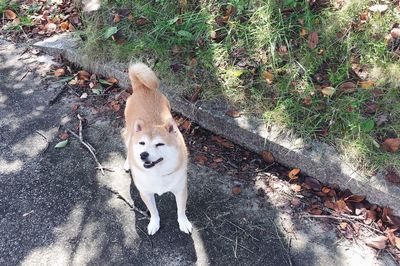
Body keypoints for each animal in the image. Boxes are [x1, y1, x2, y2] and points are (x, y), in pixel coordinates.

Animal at [123, 61, 192, 235]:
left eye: (159, 144)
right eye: (142, 143)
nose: (143, 155)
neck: (158, 173)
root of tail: (142, 87)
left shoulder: (180, 190)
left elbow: (181, 210)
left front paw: (183, 222)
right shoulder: (146, 193)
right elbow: (153, 211)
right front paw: (154, 223)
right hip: (129, 132)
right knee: (127, 145)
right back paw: (128, 162)